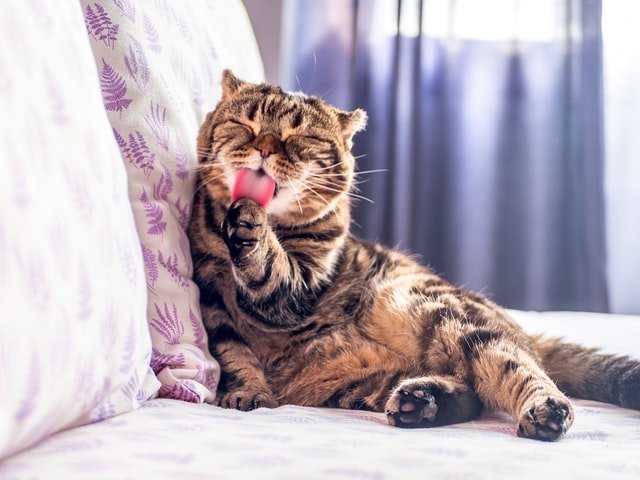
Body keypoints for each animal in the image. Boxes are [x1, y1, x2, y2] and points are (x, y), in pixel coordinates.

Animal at [190, 69, 640, 440]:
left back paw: (544, 410)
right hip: (358, 381)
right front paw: (248, 392)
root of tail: (525, 332)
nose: (265, 148)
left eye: (299, 138)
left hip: (433, 311)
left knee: (515, 370)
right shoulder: (213, 304)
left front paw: (250, 222)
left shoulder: (298, 288)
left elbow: (270, 266)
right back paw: (421, 402)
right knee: (471, 392)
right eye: (244, 125)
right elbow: (235, 355)